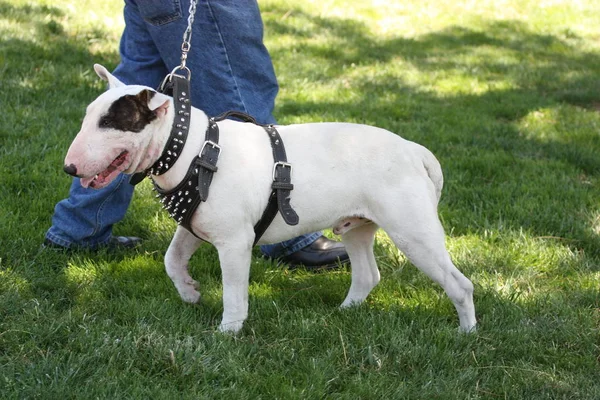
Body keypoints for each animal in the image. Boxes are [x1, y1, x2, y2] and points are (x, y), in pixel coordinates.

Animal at [64, 65, 478, 334]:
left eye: (109, 122)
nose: (69, 167)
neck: (189, 147)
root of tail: (413, 149)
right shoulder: (195, 225)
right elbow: (171, 258)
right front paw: (189, 291)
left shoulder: (234, 242)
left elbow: (234, 292)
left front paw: (228, 332)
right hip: (357, 226)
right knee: (367, 274)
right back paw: (343, 313)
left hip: (413, 233)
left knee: (460, 284)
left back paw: (466, 333)